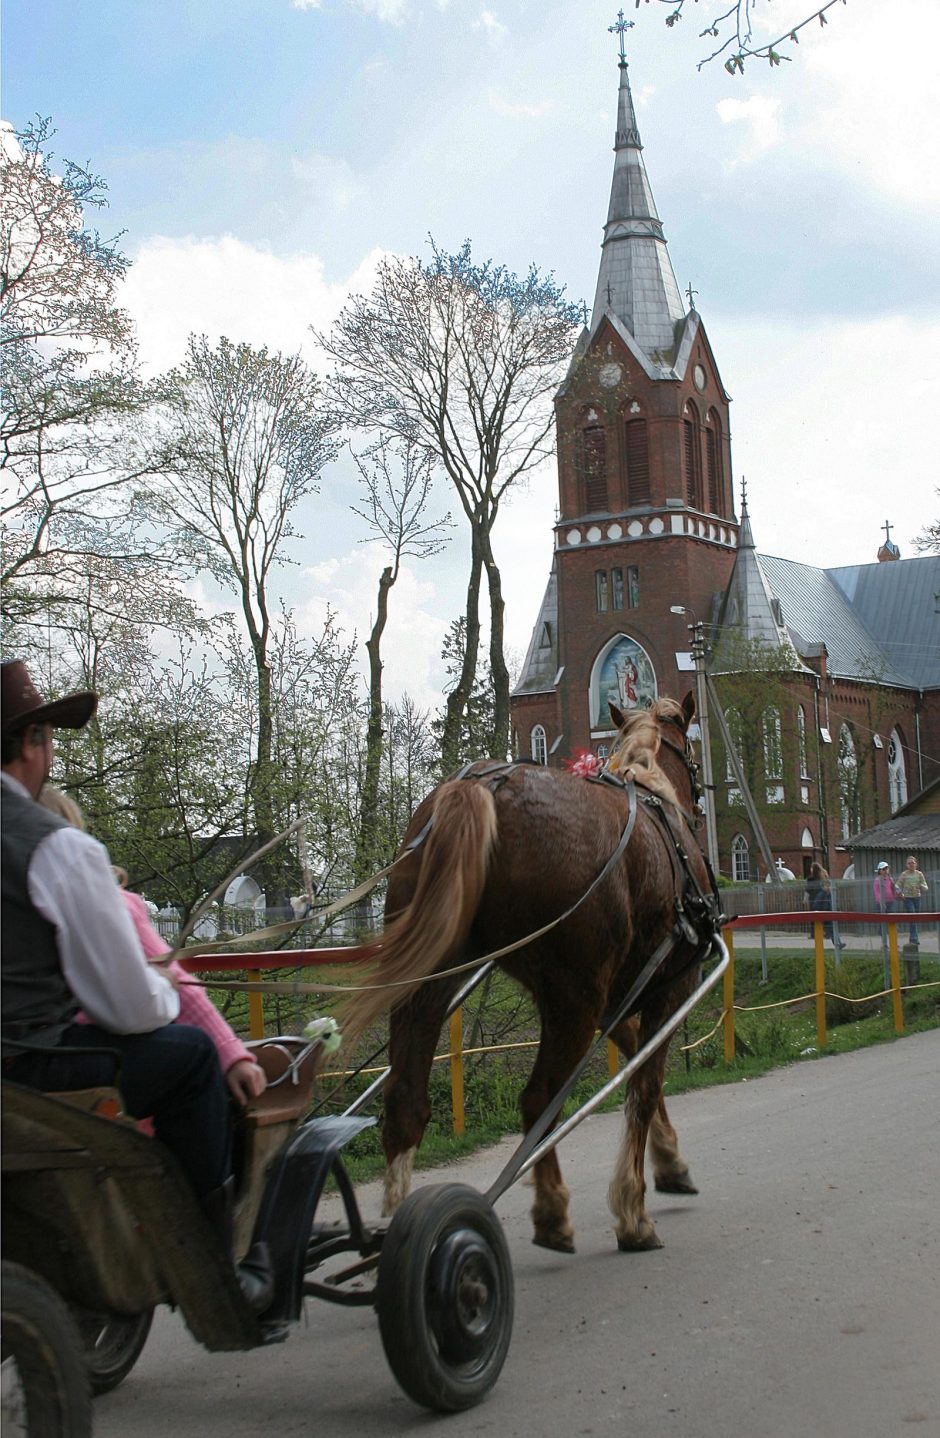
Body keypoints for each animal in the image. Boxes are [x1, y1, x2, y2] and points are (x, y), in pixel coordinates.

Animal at [342, 693, 718, 1248]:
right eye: (691, 754)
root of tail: (484, 786)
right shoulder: (668, 986)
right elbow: (644, 1083)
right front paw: (633, 1210)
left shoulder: (616, 998)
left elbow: (633, 1058)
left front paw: (670, 1161)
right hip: (571, 999)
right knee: (540, 1100)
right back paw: (552, 1210)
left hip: (431, 985)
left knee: (406, 1101)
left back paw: (396, 1221)